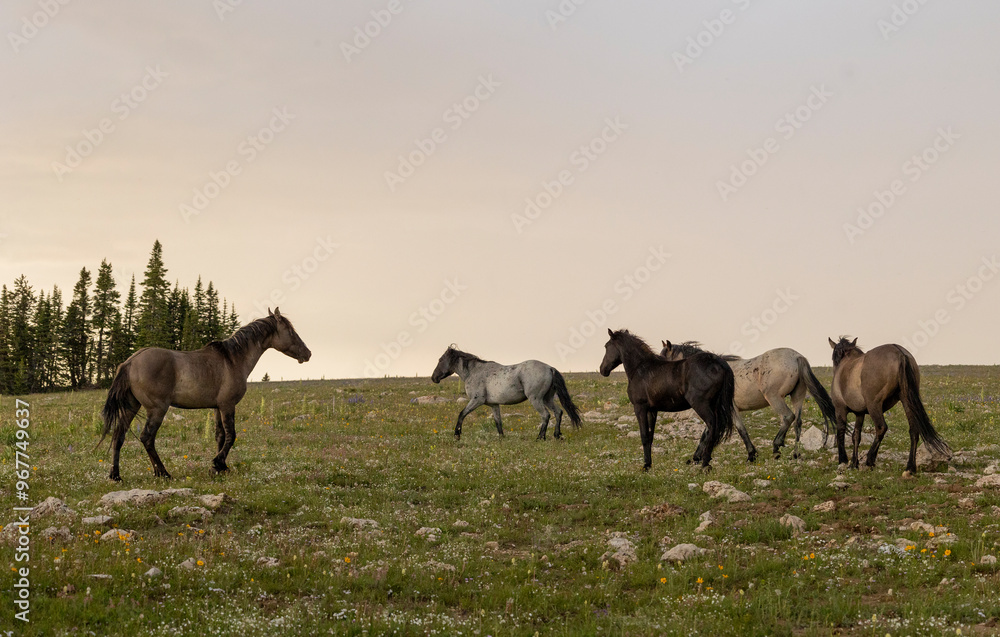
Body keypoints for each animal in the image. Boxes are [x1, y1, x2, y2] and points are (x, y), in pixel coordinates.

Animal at [99, 308, 311, 482]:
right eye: (291, 331)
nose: (308, 353)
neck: (233, 359)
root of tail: (130, 362)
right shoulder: (227, 405)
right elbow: (231, 435)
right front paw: (218, 463)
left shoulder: (217, 407)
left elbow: (220, 436)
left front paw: (219, 468)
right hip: (157, 409)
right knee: (147, 438)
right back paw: (163, 473)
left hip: (132, 406)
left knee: (119, 435)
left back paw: (115, 475)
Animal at [430, 346, 582, 440]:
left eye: (440, 360)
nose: (433, 378)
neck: (473, 372)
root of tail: (550, 368)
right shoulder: (494, 405)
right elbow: (498, 421)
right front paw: (501, 438)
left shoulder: (476, 400)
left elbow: (462, 414)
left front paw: (457, 435)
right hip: (547, 399)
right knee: (558, 412)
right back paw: (557, 435)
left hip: (536, 399)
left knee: (546, 415)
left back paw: (540, 437)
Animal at [600, 329, 736, 471]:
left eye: (606, 346)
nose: (602, 369)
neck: (640, 369)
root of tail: (718, 362)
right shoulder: (652, 410)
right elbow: (650, 436)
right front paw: (649, 464)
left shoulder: (640, 408)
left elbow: (644, 436)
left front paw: (645, 466)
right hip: (714, 405)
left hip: (701, 405)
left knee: (712, 425)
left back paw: (705, 463)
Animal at [660, 341, 837, 460]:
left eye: (662, 358)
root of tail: (797, 357)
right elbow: (707, 431)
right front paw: (696, 457)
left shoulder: (730, 409)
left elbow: (740, 429)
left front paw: (751, 454)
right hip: (798, 396)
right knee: (798, 423)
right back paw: (795, 454)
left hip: (774, 397)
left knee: (788, 417)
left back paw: (776, 446)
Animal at [828, 337, 950, 475]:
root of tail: (899, 352)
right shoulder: (860, 413)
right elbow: (856, 436)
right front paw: (854, 463)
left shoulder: (840, 409)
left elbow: (841, 432)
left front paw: (843, 461)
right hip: (907, 401)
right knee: (914, 430)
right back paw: (910, 468)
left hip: (874, 405)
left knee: (881, 428)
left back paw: (870, 460)